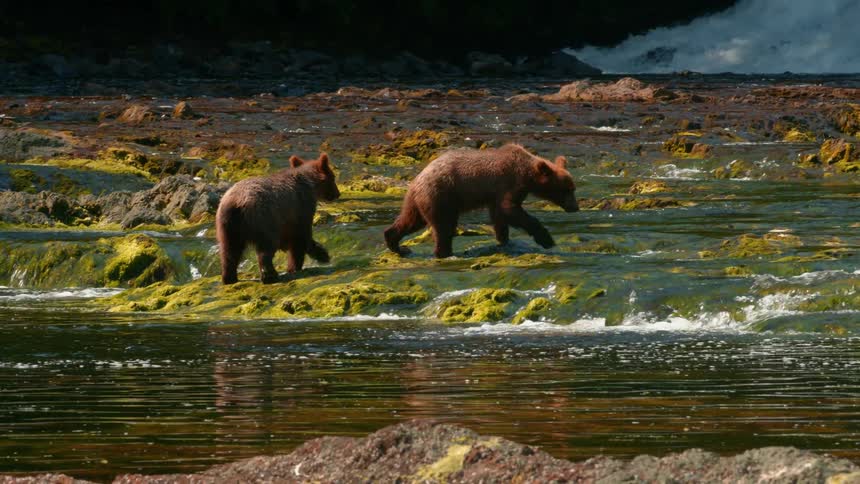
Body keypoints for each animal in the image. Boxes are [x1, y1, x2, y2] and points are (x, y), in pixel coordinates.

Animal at [216, 152, 340, 284]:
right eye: (333, 177)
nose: (338, 194)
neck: (310, 184)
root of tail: (237, 202)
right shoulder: (300, 207)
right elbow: (301, 238)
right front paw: (298, 265)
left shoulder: (288, 218)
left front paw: (322, 254)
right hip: (263, 218)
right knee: (266, 247)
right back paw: (270, 276)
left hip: (228, 224)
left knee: (229, 251)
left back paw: (229, 278)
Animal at [384, 144, 578, 258]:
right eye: (567, 190)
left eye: (573, 188)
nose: (575, 207)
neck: (528, 174)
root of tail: (416, 180)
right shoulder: (509, 183)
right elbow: (510, 210)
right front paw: (546, 239)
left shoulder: (497, 194)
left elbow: (500, 216)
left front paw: (504, 240)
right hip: (441, 195)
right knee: (444, 227)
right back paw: (444, 253)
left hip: (419, 201)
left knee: (410, 221)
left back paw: (397, 245)